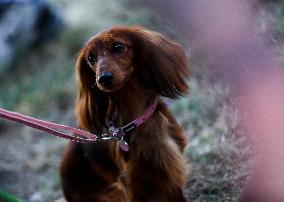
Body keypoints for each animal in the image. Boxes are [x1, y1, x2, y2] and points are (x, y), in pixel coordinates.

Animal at [60, 25, 191, 202]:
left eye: (117, 46)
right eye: (91, 58)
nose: (103, 79)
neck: (137, 118)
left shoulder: (171, 173)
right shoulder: (132, 184)